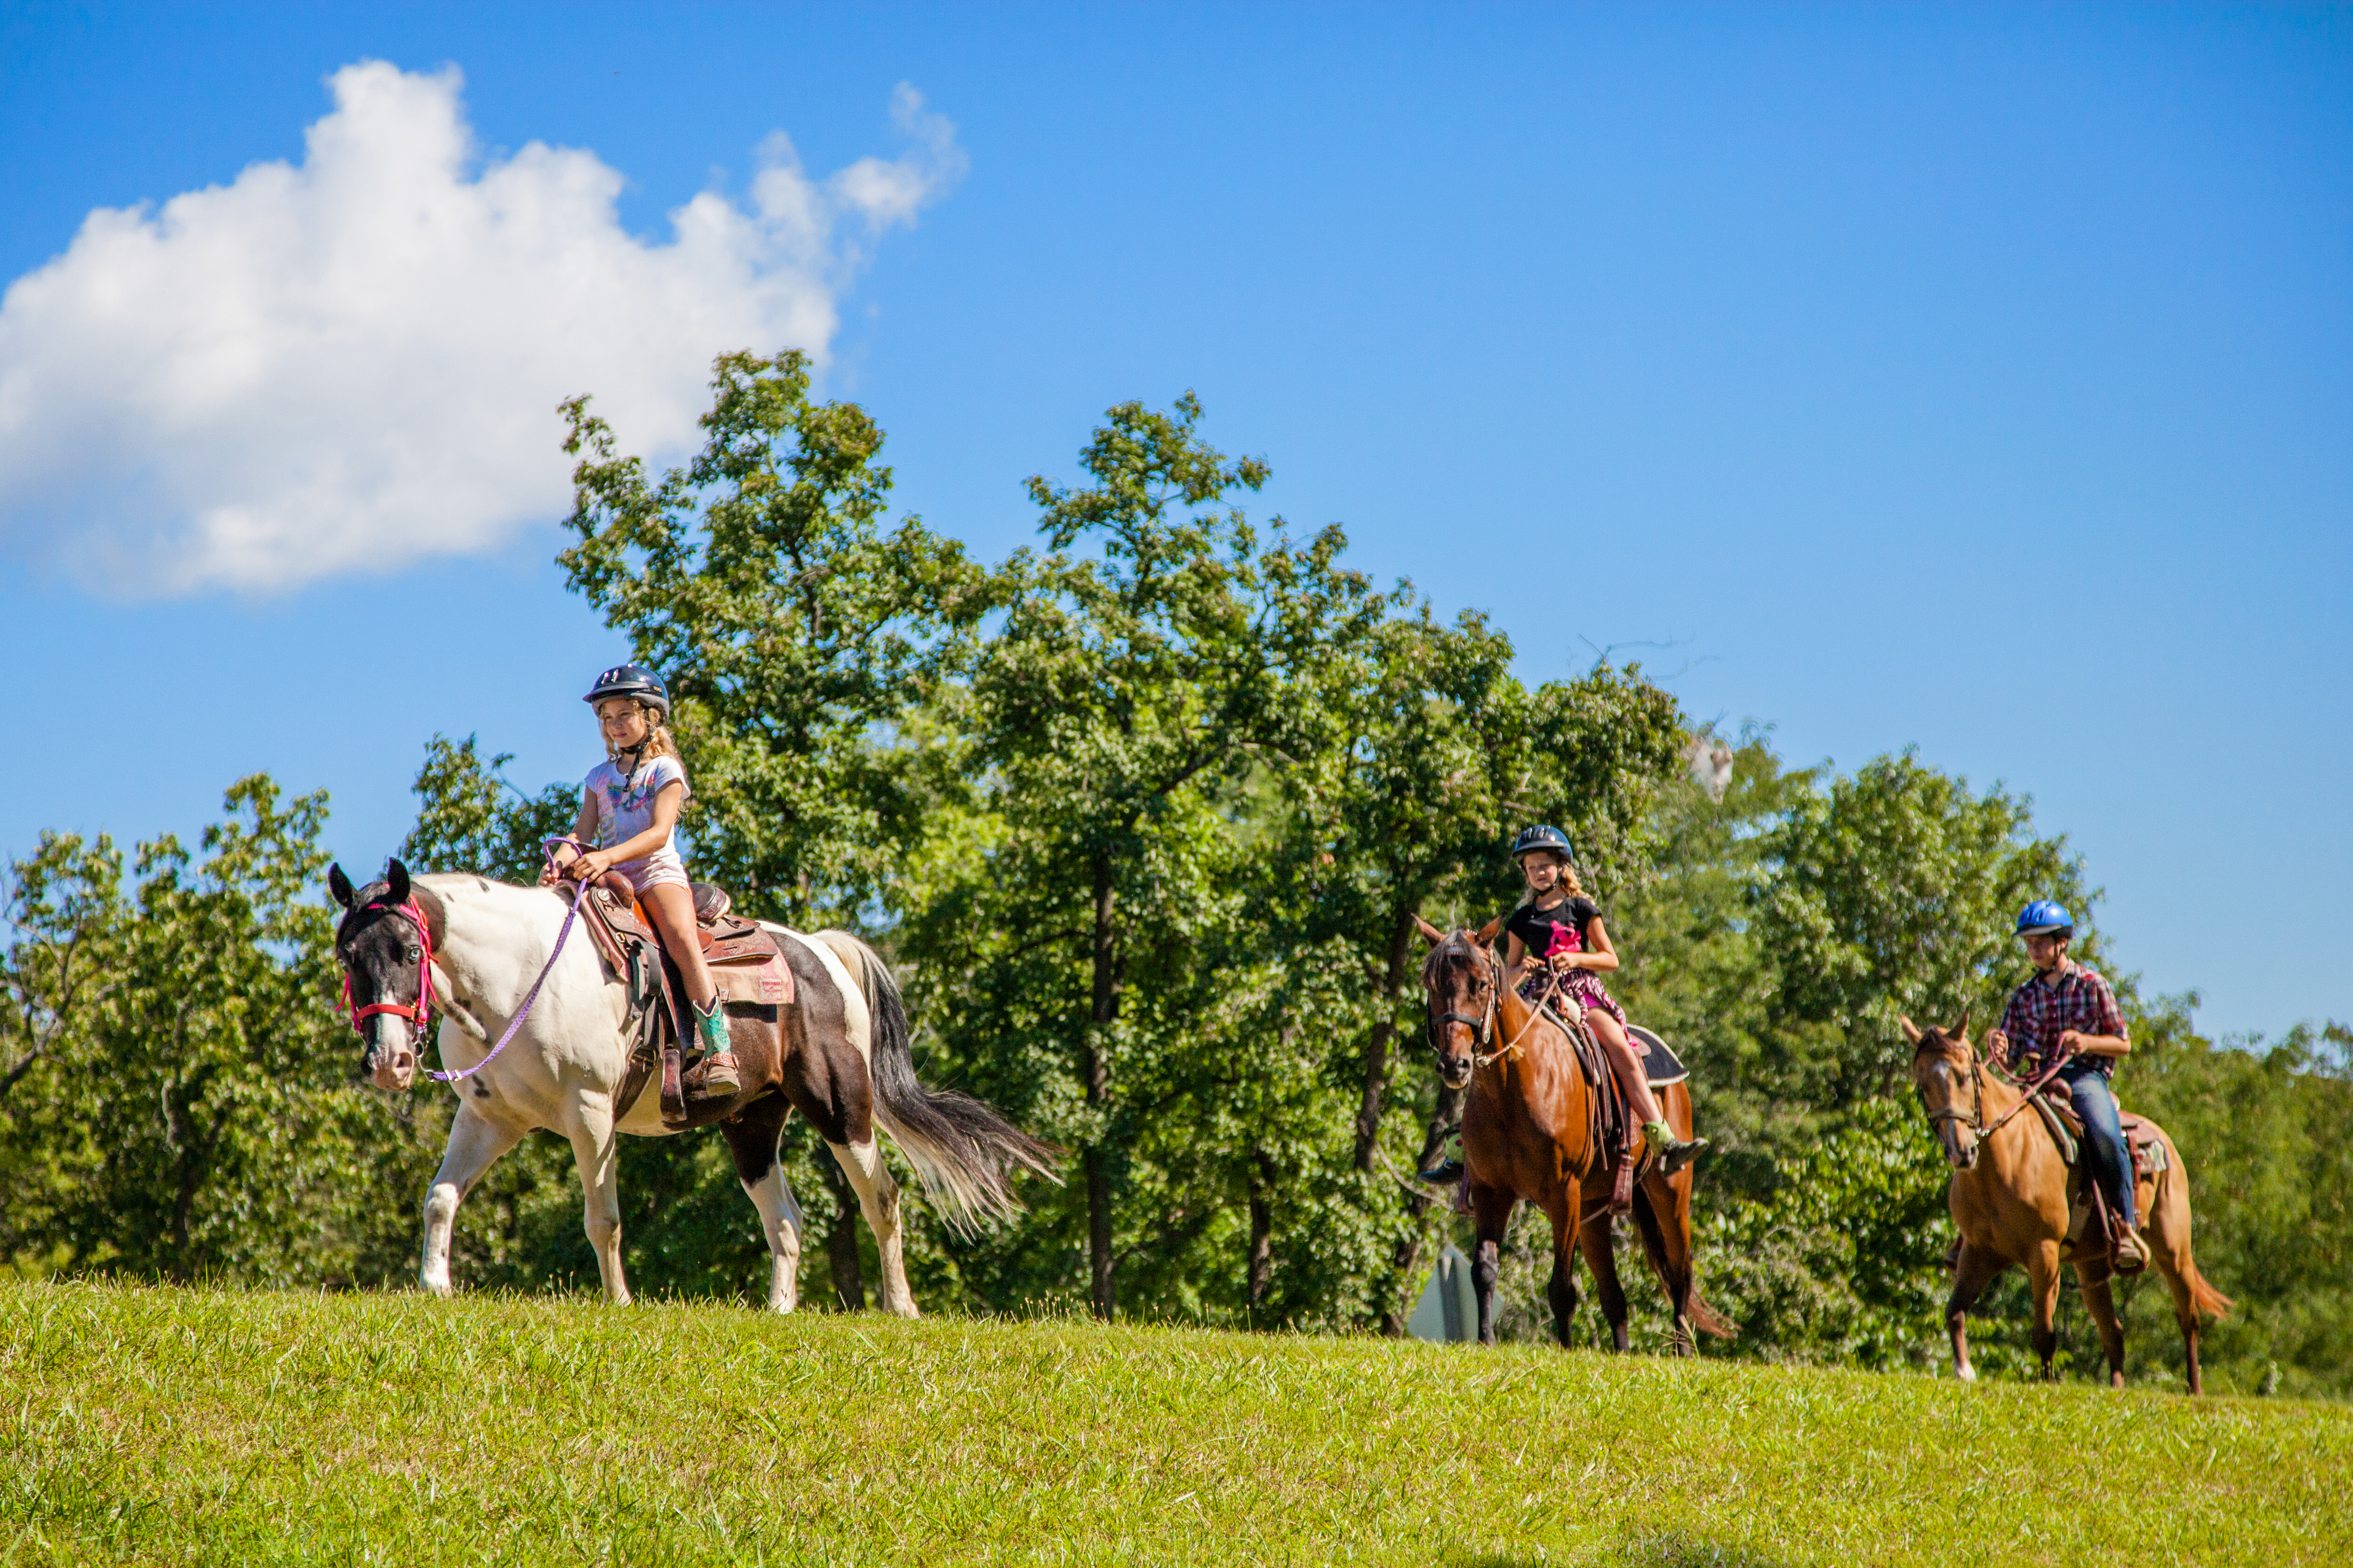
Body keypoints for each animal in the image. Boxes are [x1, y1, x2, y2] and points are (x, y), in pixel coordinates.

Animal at [330, 859, 1060, 1312]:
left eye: (409, 951)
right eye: (348, 956)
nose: (390, 1062)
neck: (520, 975)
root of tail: (823, 951)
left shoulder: (590, 1113)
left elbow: (603, 1218)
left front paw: (618, 1300)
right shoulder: (489, 1118)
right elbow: (440, 1198)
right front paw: (434, 1286)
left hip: (841, 1109)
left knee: (882, 1199)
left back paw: (901, 1308)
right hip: (753, 1124)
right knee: (785, 1219)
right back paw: (779, 1309)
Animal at [1416, 916, 1730, 1351]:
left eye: (1479, 984)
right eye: (1431, 985)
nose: (1454, 1064)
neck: (1514, 1084)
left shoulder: (1562, 1192)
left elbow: (1561, 1288)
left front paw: (1563, 1350)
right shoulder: (1489, 1190)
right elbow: (1484, 1271)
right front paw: (1485, 1340)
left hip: (1670, 1193)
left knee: (1680, 1271)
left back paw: (1682, 1349)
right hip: (1594, 1213)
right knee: (1615, 1295)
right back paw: (1622, 1353)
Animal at [1900, 1016, 2231, 1392]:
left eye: (1962, 1077)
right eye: (1923, 1086)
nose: (1961, 1151)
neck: (2005, 1158)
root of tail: (2163, 1140)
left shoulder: (2043, 1252)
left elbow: (2044, 1333)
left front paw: (2045, 1384)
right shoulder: (1979, 1251)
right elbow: (1954, 1311)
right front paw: (1964, 1370)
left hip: (2173, 1248)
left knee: (2188, 1319)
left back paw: (2194, 1390)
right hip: (2092, 1264)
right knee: (2113, 1333)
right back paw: (2116, 1388)